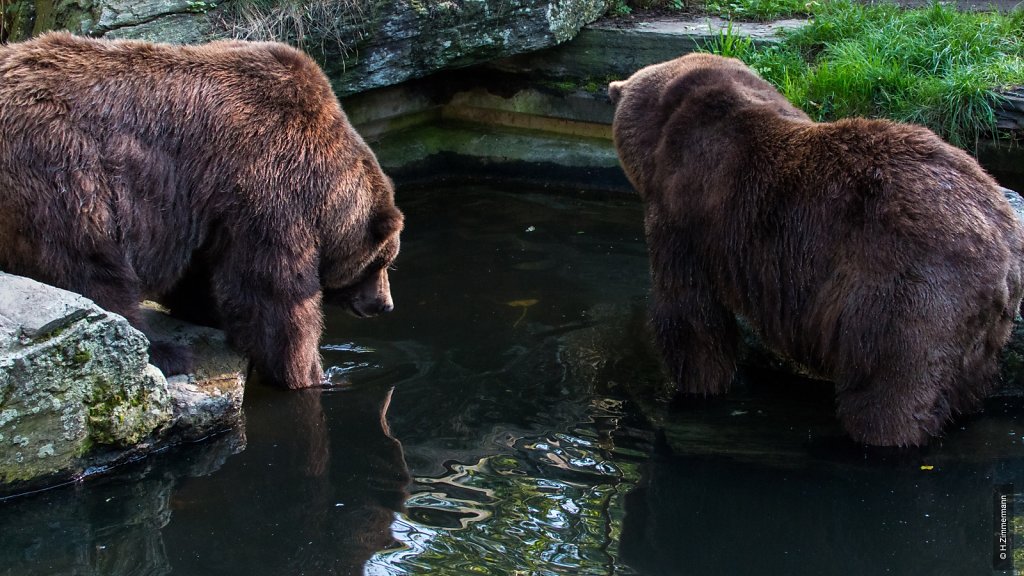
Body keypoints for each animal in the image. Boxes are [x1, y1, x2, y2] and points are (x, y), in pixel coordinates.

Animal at [0, 32, 403, 389]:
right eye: (381, 261)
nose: (384, 304)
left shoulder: (207, 209)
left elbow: (200, 274)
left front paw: (206, 313)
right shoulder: (268, 186)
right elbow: (273, 294)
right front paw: (308, 373)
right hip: (64, 168)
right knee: (91, 266)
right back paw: (164, 352)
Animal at [606, 53, 1024, 446]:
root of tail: (1004, 243)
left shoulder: (685, 216)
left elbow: (690, 315)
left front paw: (697, 386)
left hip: (909, 294)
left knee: (890, 388)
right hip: (984, 329)